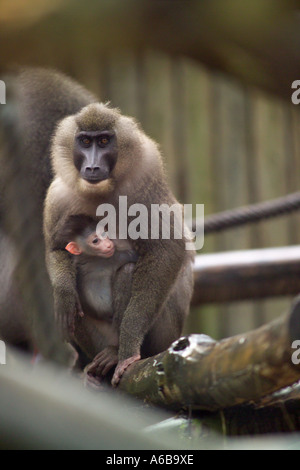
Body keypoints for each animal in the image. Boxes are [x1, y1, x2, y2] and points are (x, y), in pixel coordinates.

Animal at [44, 101, 195, 384]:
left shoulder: (145, 178)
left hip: (162, 335)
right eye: (85, 141)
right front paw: (64, 294)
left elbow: (167, 249)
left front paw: (127, 350)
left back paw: (116, 353)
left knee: (128, 272)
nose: (92, 167)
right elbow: (55, 249)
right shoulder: (58, 195)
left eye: (104, 141)